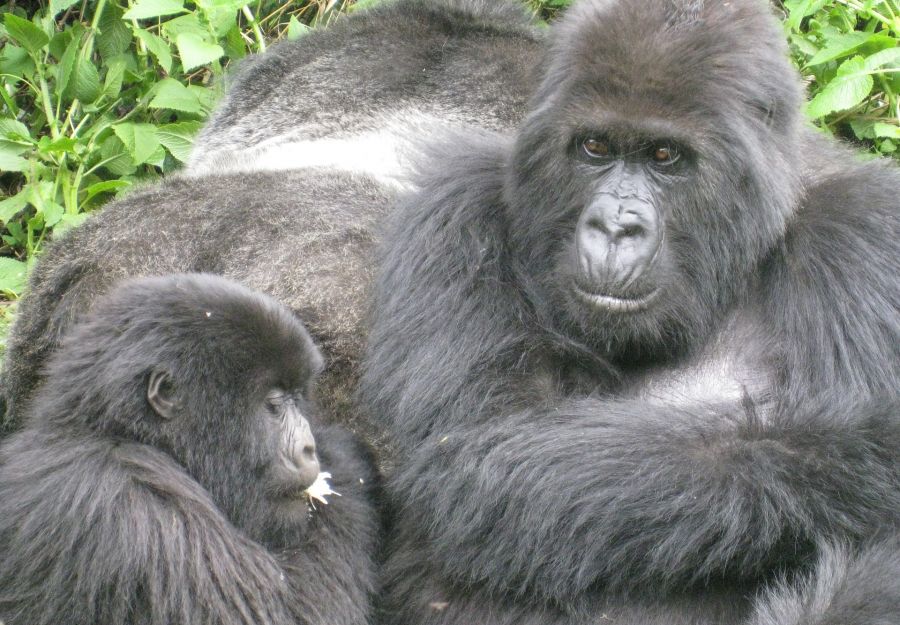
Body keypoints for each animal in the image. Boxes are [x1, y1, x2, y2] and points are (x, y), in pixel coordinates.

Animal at [0, 276, 378, 624]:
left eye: (298, 397)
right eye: (273, 404)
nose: (309, 449)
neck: (120, 434)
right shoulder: (135, 508)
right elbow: (280, 613)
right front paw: (344, 460)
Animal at [358, 1, 900, 624]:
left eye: (665, 156)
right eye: (594, 148)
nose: (615, 227)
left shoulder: (865, 228)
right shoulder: (455, 209)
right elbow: (483, 442)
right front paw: (868, 458)